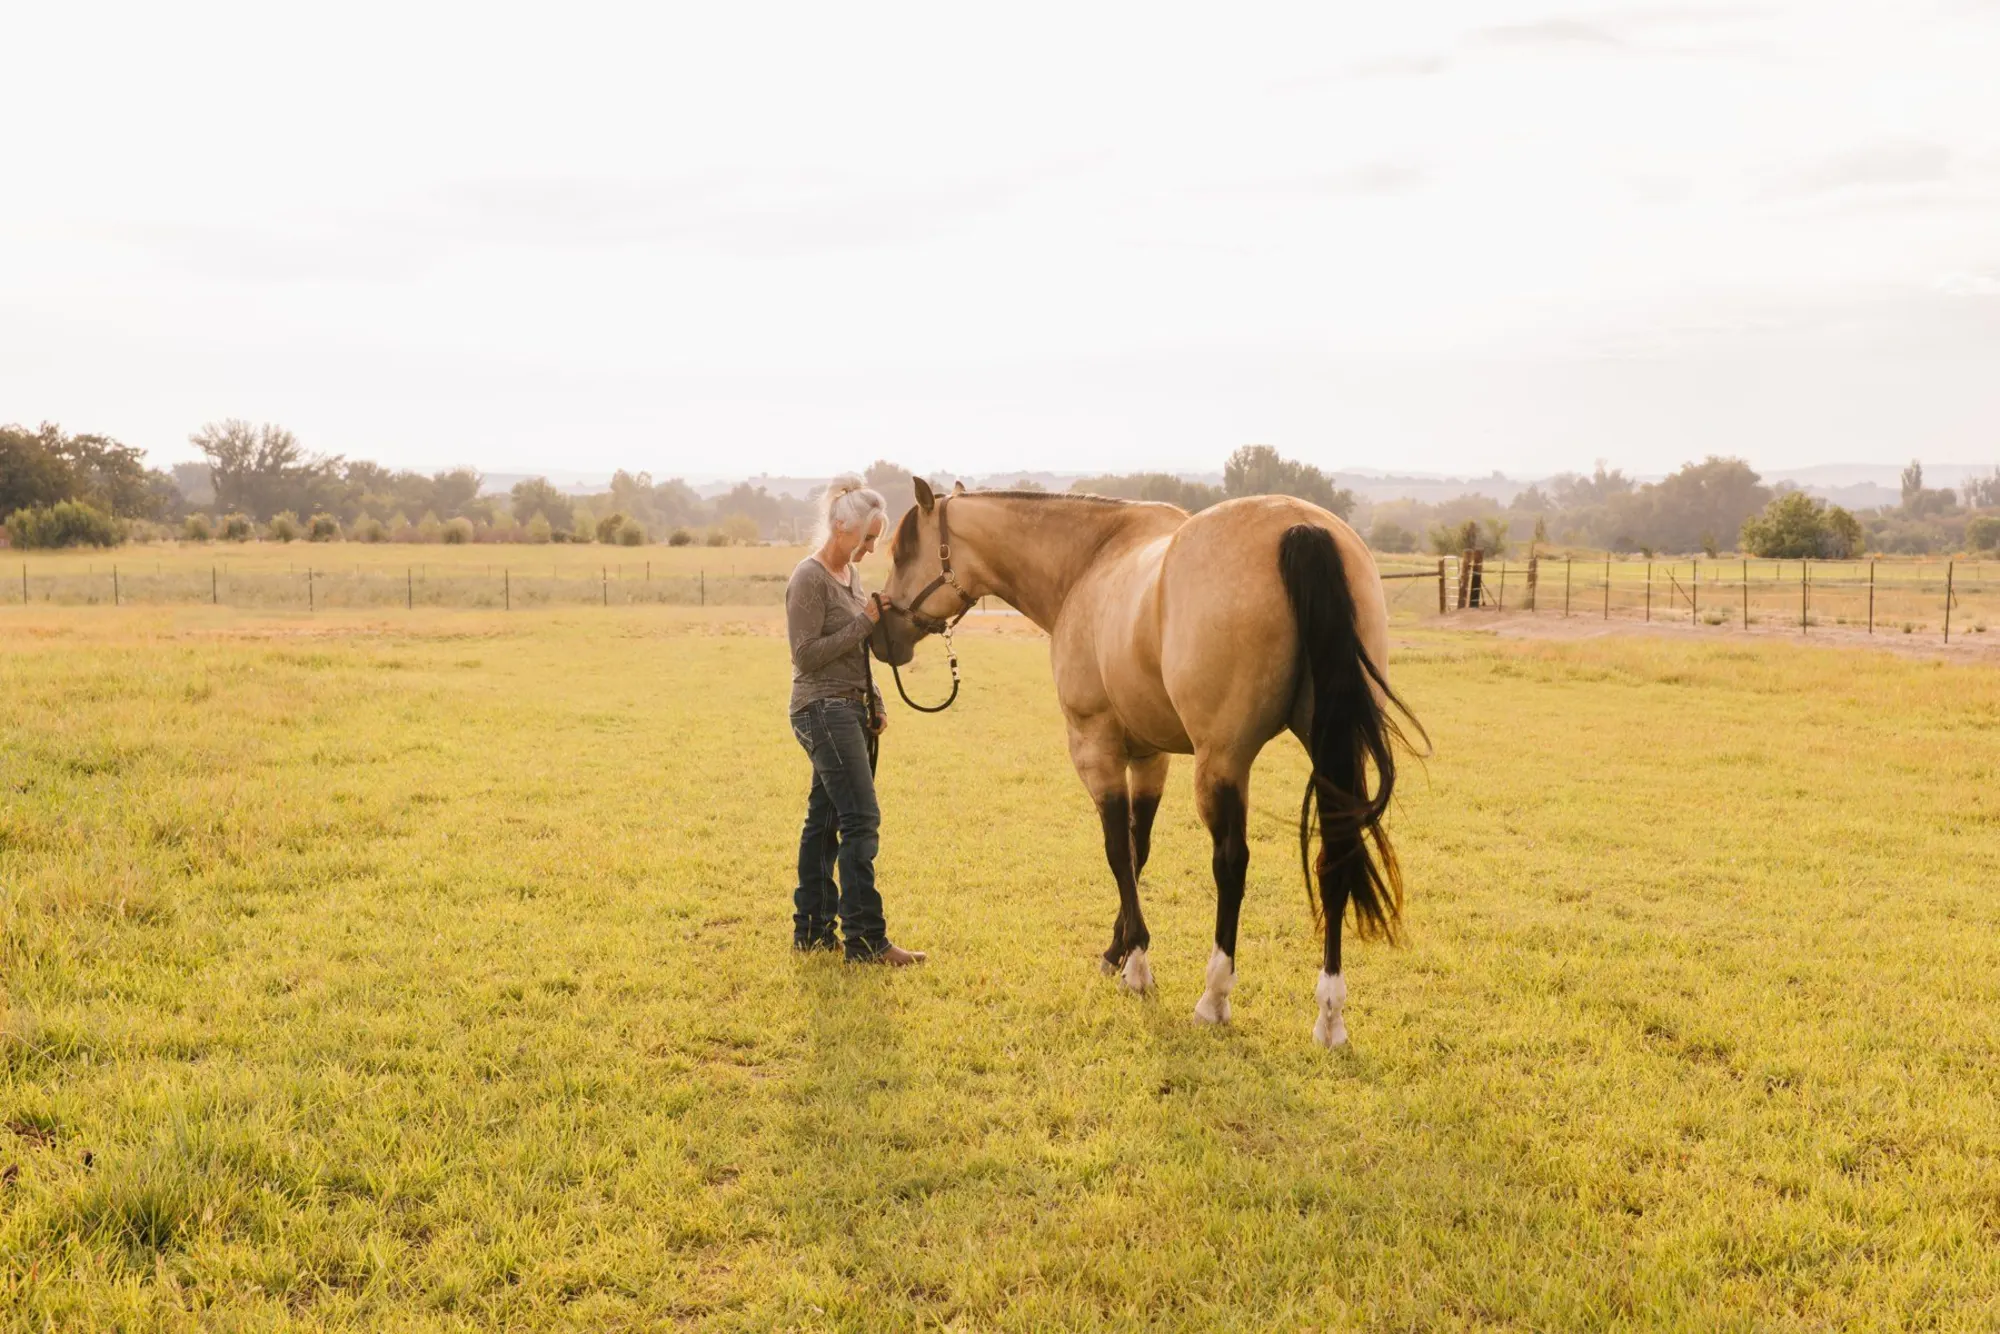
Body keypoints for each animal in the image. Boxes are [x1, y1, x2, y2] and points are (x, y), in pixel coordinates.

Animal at [869, 478, 1421, 1047]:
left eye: (901, 552)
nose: (880, 636)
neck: (1088, 562)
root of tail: (1300, 528)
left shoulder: (1097, 748)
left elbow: (1117, 850)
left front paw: (1135, 964)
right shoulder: (1151, 756)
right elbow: (1140, 849)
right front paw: (1119, 950)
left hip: (1223, 761)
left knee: (1231, 863)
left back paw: (1214, 997)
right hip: (1330, 750)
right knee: (1335, 856)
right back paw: (1329, 1014)